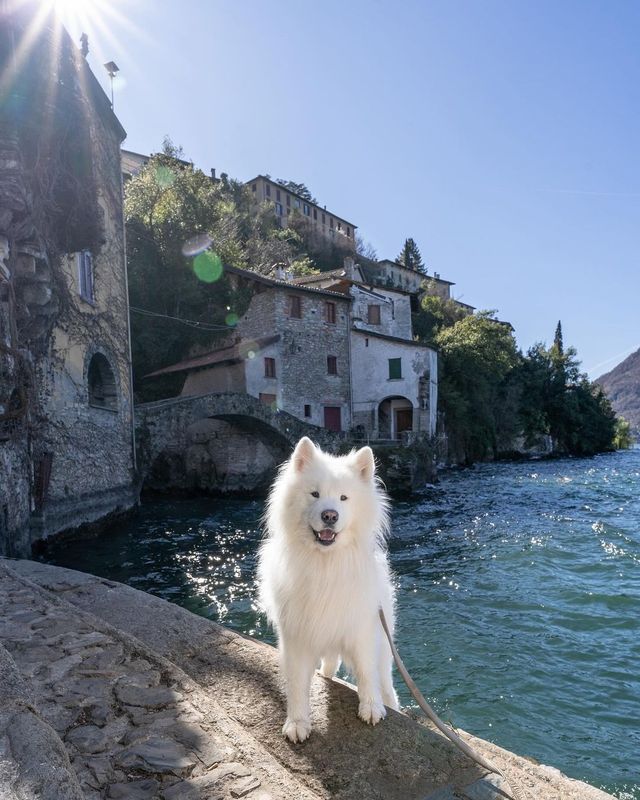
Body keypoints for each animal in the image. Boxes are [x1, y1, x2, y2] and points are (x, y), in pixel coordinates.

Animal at [256, 438, 398, 744]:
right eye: (315, 494)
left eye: (344, 498)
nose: (329, 515)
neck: (325, 564)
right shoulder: (297, 634)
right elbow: (297, 684)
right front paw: (297, 723)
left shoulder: (361, 629)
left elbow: (367, 673)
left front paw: (371, 707)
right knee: (330, 664)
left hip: (384, 644)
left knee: (385, 681)